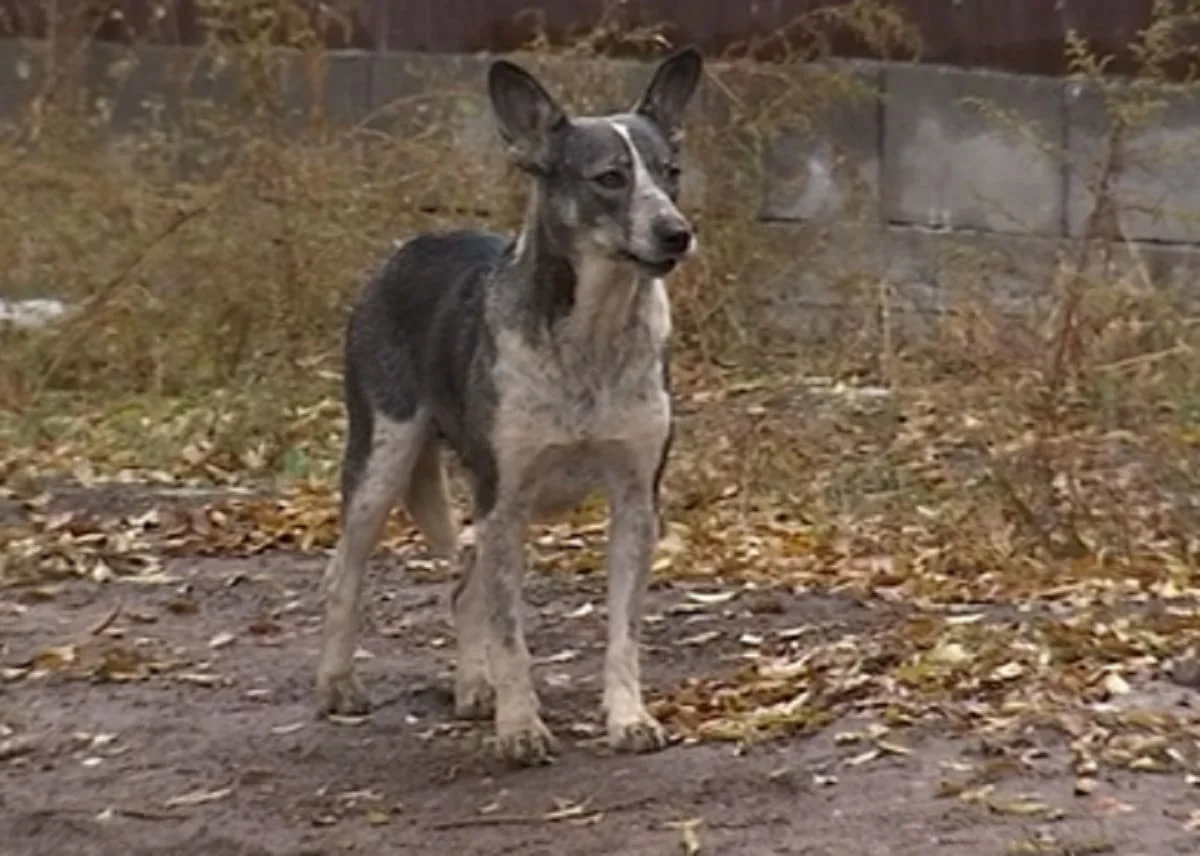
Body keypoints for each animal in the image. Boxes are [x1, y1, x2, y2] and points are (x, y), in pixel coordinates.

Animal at [314, 46, 700, 763]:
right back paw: (338, 685)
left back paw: (473, 689)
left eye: (672, 173)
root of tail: (407, 251)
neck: (590, 338)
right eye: (609, 178)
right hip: (381, 462)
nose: (677, 233)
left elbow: (622, 633)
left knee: (462, 584)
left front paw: (627, 718)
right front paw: (520, 727)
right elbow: (511, 635)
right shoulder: (505, 502)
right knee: (344, 578)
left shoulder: (636, 502)